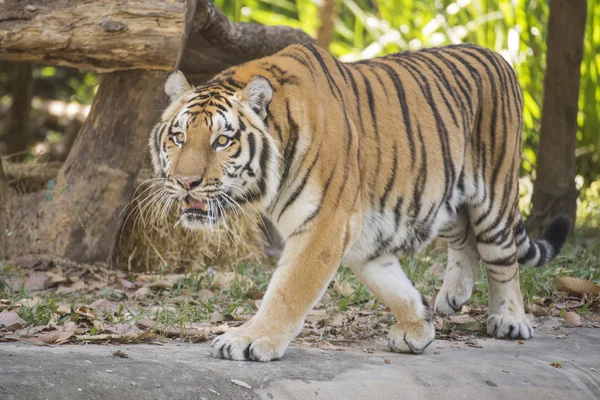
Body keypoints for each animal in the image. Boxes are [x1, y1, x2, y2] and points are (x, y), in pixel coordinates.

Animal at [148, 42, 568, 360]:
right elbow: (389, 281)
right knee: (464, 239)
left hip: (494, 196)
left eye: (222, 141)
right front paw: (418, 325)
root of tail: (499, 56)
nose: (186, 182)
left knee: (503, 258)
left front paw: (249, 340)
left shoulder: (326, 223)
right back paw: (452, 296)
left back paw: (511, 319)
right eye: (179, 137)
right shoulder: (360, 233)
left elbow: (287, 290)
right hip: (445, 194)